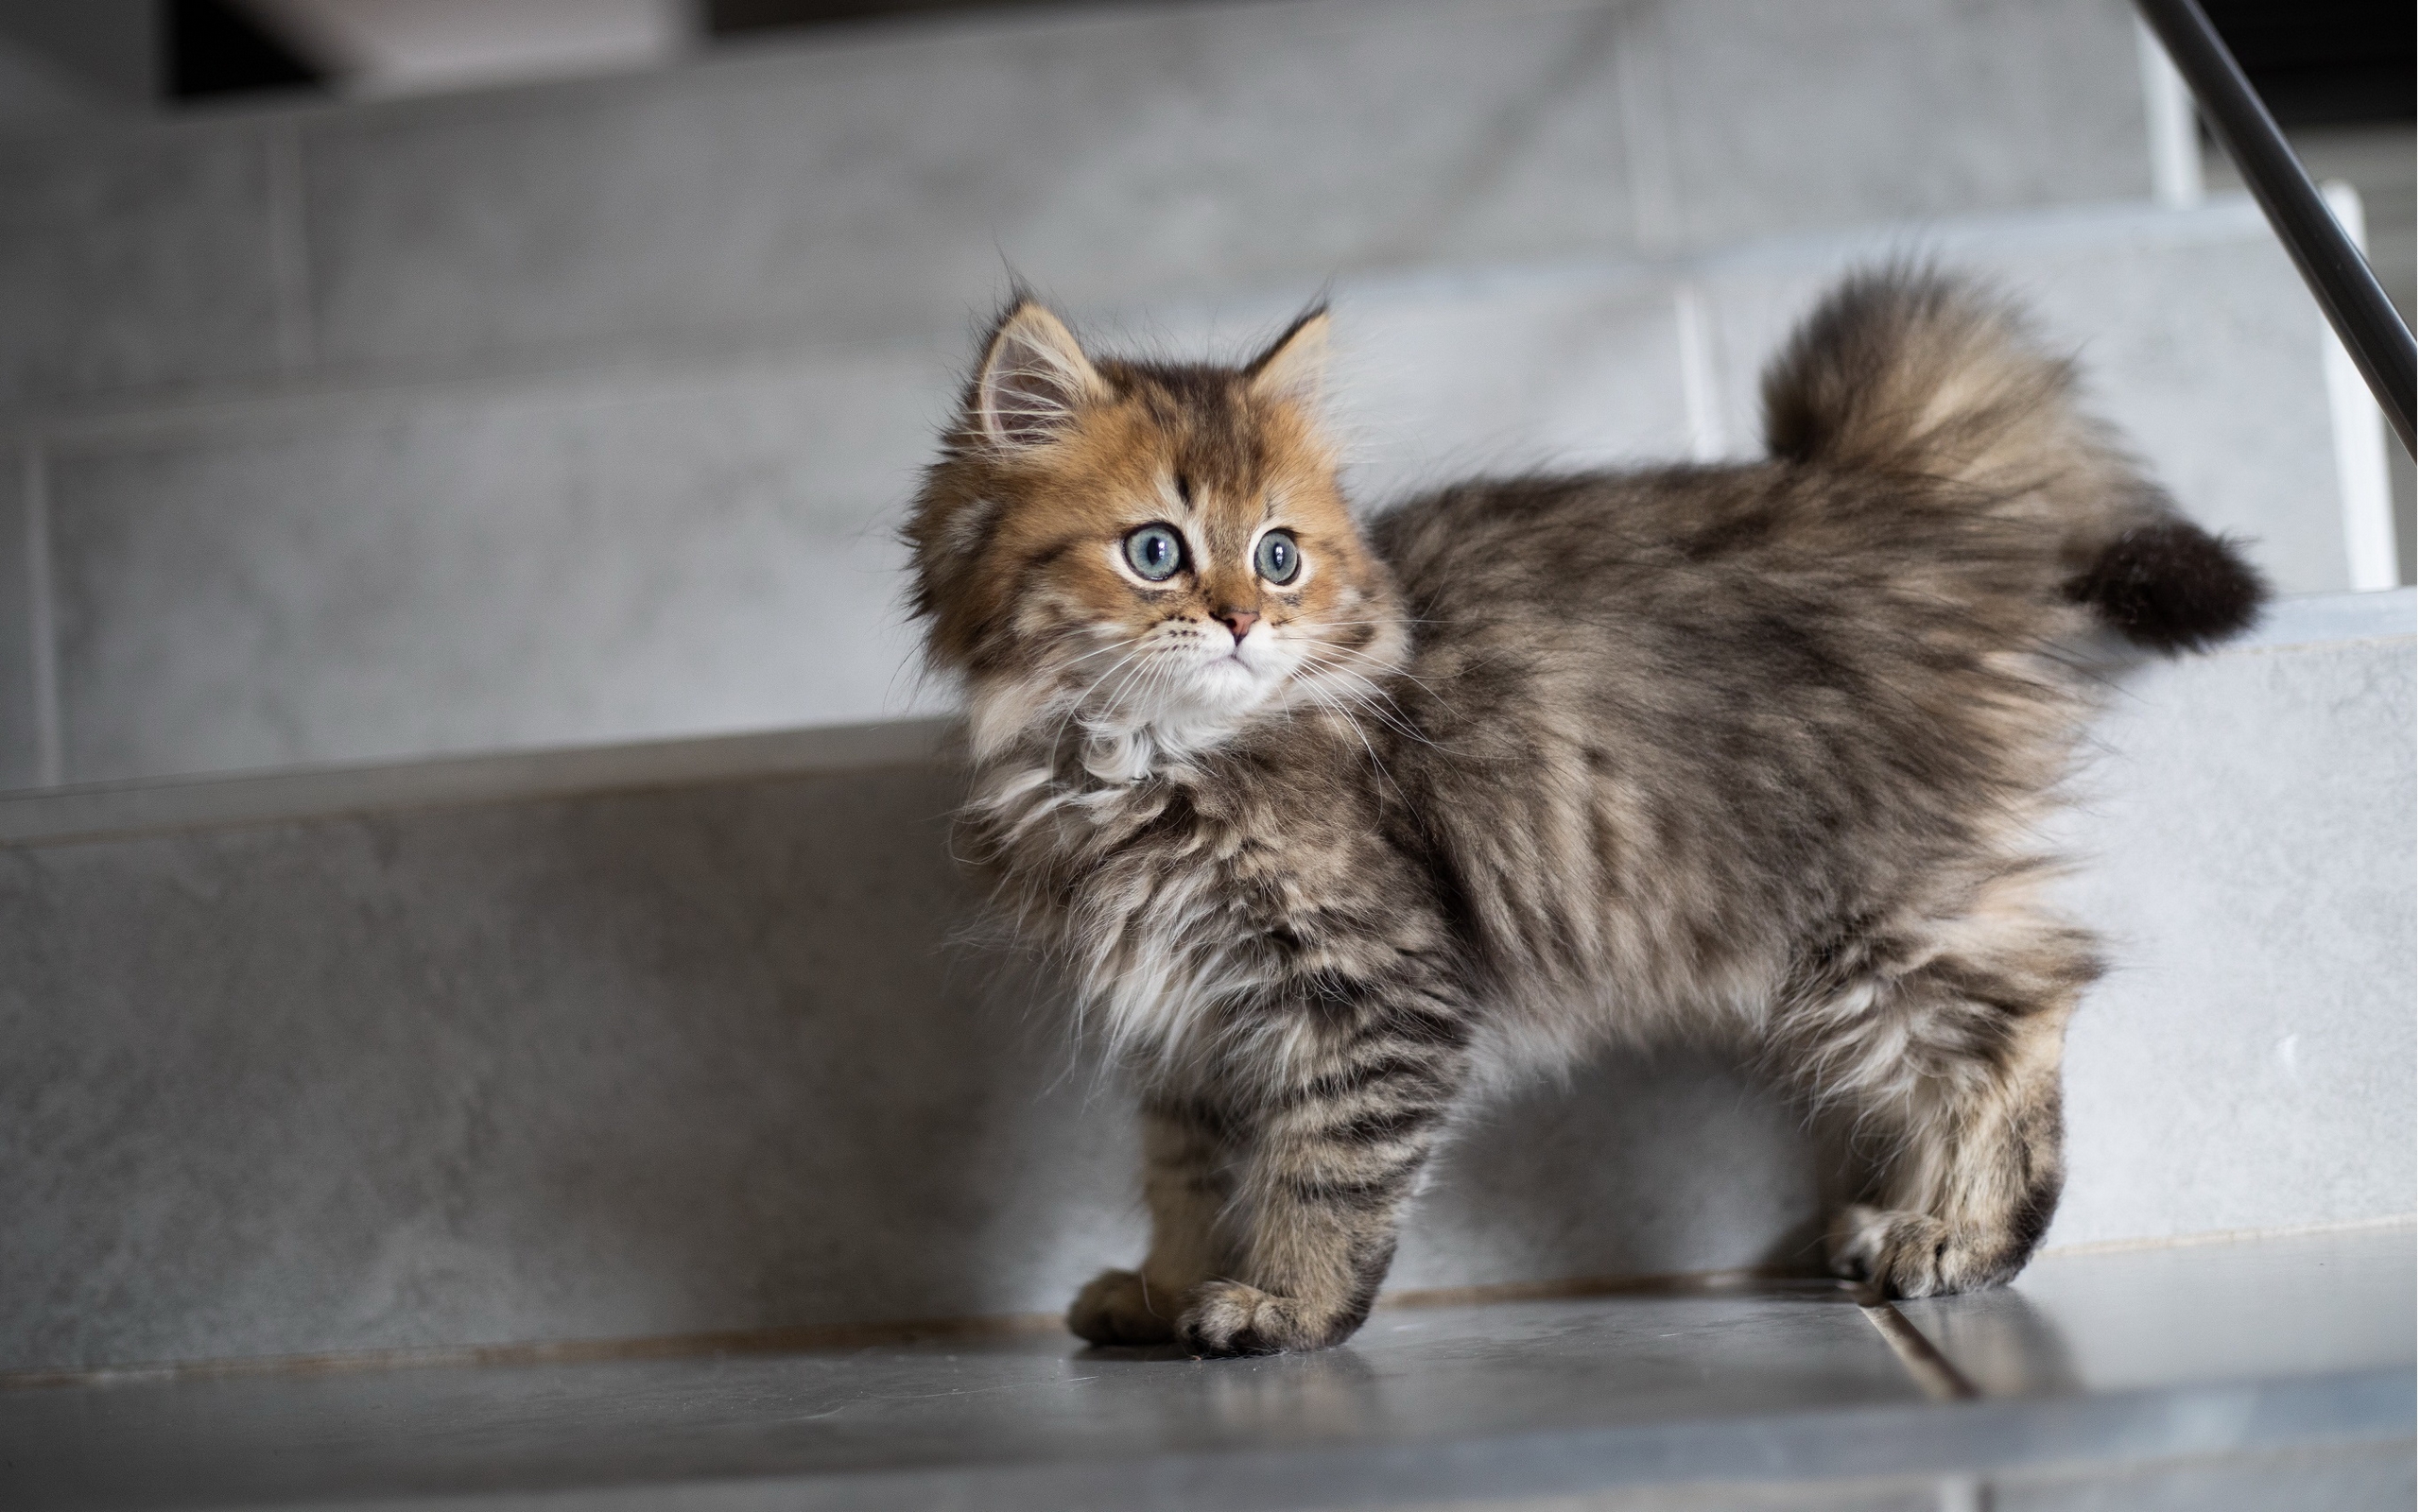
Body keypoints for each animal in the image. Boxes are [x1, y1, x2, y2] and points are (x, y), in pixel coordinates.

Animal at [905, 268, 2264, 1357]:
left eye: (1280, 556)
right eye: (1156, 551)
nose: (1243, 620)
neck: (1139, 764)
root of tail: (1878, 491)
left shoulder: (1368, 988)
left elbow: (1324, 1175)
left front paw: (1286, 1306)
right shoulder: (1192, 1029)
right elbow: (1187, 1177)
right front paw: (1164, 1287)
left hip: (1855, 916)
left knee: (2024, 1008)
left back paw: (1960, 1236)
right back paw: (1905, 1221)